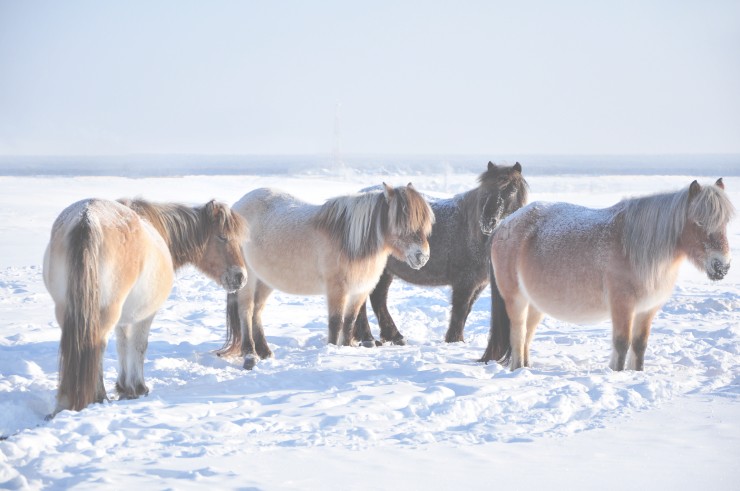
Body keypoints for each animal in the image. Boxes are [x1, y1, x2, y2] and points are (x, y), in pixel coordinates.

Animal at [43, 198, 249, 414]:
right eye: (222, 237)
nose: (241, 277)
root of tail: (87, 219)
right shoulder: (145, 314)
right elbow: (139, 345)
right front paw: (138, 387)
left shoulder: (125, 318)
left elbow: (123, 346)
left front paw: (124, 387)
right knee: (96, 346)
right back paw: (98, 397)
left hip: (67, 310)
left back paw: (65, 401)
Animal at [215, 184, 434, 368]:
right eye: (402, 223)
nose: (422, 256)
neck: (349, 241)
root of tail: (239, 205)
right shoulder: (337, 289)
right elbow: (336, 323)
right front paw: (333, 350)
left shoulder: (359, 291)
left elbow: (350, 321)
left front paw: (347, 348)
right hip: (249, 278)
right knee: (246, 311)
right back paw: (250, 355)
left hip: (265, 280)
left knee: (257, 312)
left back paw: (265, 352)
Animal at [352, 161, 528, 346]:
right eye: (485, 189)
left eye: (512, 190)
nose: (488, 222)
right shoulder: (465, 282)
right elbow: (460, 310)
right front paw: (455, 340)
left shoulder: (478, 285)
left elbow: (466, 311)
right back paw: (368, 338)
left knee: (378, 299)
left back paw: (393, 336)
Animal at [480, 179, 736, 370]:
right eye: (699, 221)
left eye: (725, 222)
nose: (722, 266)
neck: (637, 249)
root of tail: (504, 224)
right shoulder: (622, 305)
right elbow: (622, 344)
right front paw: (618, 373)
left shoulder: (647, 309)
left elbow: (639, 346)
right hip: (516, 299)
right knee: (517, 333)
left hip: (535, 303)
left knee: (527, 335)